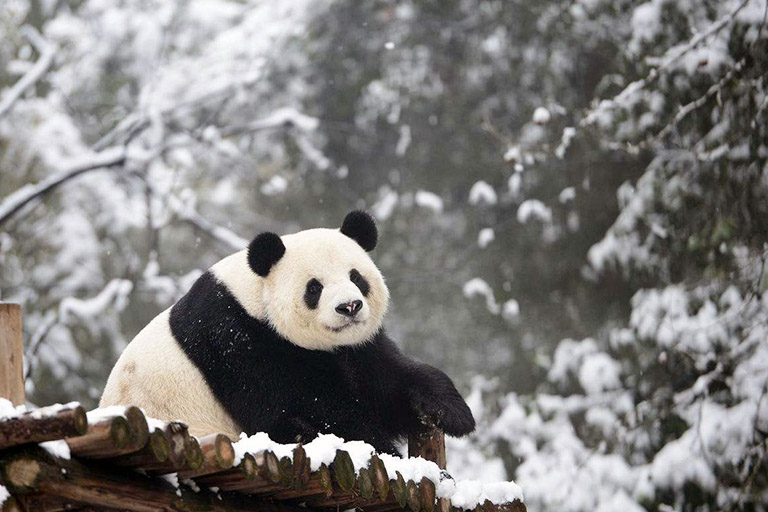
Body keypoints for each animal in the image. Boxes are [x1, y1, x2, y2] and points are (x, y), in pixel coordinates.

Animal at [102, 210, 474, 454]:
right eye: (314, 288)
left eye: (356, 277)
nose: (349, 307)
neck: (255, 295)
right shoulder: (240, 340)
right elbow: (315, 405)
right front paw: (382, 450)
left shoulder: (355, 348)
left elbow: (387, 380)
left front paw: (453, 412)